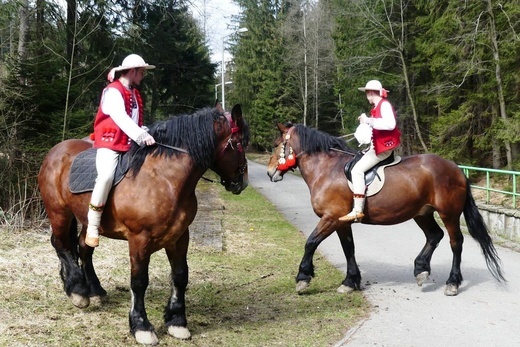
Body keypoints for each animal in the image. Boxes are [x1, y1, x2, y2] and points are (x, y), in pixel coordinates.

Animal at [37, 103, 249, 346]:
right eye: (240, 143)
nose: (242, 182)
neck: (165, 179)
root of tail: (56, 151)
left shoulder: (180, 236)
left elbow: (180, 275)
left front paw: (177, 322)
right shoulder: (139, 239)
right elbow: (139, 281)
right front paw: (141, 327)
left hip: (88, 222)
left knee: (84, 248)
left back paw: (95, 290)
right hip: (59, 213)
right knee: (61, 244)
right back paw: (79, 291)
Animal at [268, 121, 504, 296]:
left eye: (275, 144)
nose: (270, 172)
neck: (326, 169)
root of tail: (456, 169)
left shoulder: (331, 218)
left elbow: (310, 243)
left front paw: (303, 278)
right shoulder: (341, 222)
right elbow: (348, 248)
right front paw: (350, 281)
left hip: (449, 213)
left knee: (456, 243)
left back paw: (452, 282)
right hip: (422, 213)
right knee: (434, 235)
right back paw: (420, 269)